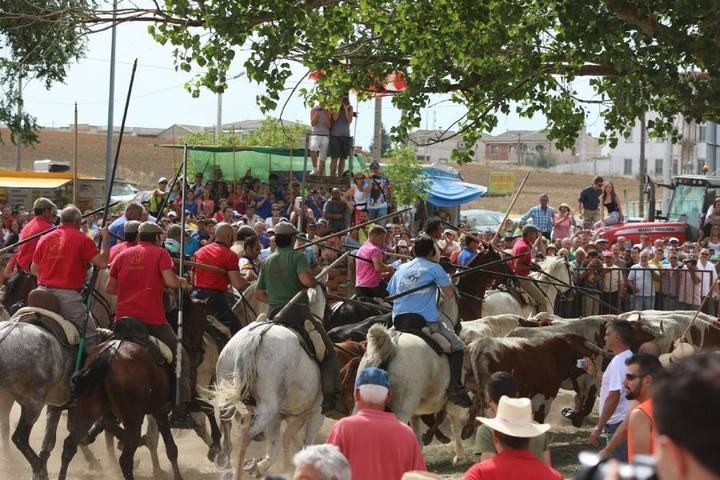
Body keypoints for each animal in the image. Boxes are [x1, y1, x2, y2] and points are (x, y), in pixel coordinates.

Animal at [57, 292, 207, 480]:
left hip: (89, 408)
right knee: (125, 458)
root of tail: (109, 353)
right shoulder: (169, 406)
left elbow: (171, 448)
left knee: (69, 445)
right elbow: (175, 445)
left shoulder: (158, 410)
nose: (201, 352)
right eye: (202, 319)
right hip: (133, 418)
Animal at [358, 288, 470, 464]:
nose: (459, 324)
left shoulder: (416, 411)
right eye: (459, 298)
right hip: (402, 408)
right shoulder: (452, 403)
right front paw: (459, 457)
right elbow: (454, 425)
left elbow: (417, 433)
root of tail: (391, 345)